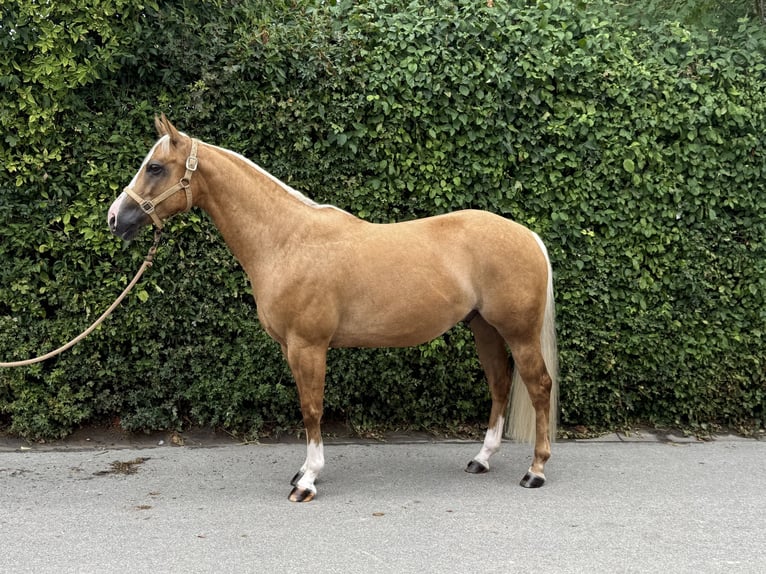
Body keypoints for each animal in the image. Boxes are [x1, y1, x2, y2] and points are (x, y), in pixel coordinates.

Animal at [108, 115, 559, 502]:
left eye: (155, 168)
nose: (115, 218)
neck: (287, 240)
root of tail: (528, 236)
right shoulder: (291, 348)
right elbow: (308, 408)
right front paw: (304, 471)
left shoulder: (308, 346)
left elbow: (312, 409)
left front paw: (307, 480)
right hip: (484, 328)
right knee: (500, 385)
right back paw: (481, 459)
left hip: (518, 333)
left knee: (538, 386)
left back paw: (535, 471)